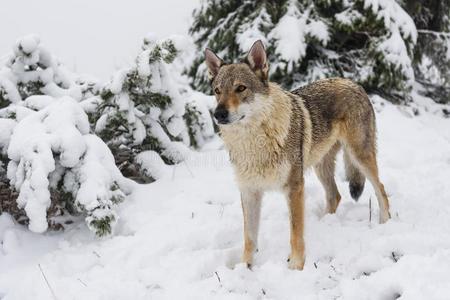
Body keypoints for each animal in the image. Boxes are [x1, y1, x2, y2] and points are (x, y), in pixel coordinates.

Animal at [205, 39, 390, 270]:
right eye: (217, 91)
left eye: (240, 88)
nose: (218, 114)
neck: (254, 142)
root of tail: (353, 83)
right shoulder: (249, 191)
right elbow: (249, 238)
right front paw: (244, 267)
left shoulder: (294, 187)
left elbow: (295, 233)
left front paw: (296, 266)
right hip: (321, 167)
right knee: (335, 196)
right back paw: (323, 223)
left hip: (359, 157)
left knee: (380, 189)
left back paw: (385, 223)